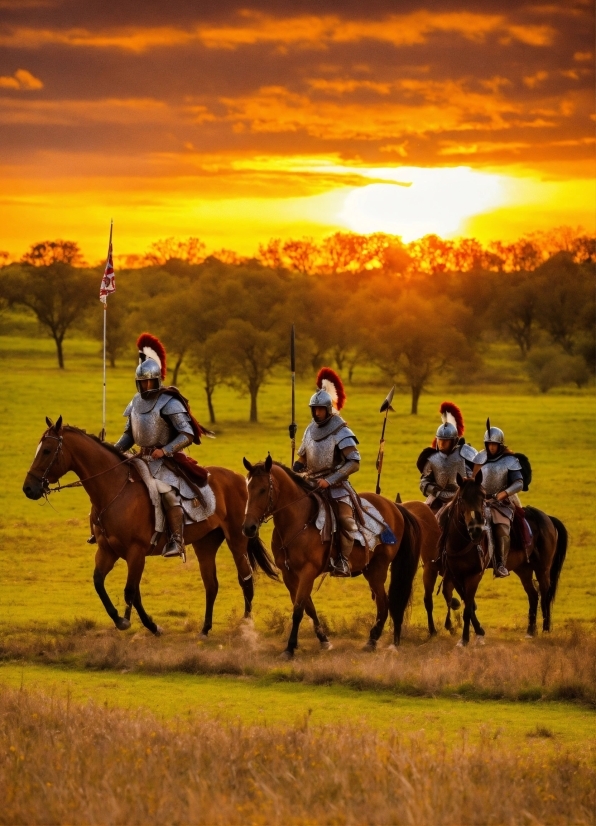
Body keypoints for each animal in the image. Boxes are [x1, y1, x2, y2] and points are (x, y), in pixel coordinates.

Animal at [21, 416, 278, 636]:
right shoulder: (108, 551)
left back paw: (246, 625)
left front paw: (144, 624)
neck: (114, 489)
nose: (29, 488)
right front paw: (125, 621)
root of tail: (241, 479)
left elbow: (131, 592)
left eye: (47, 450)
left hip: (237, 539)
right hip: (205, 544)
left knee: (245, 579)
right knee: (211, 585)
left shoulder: (136, 552)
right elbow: (101, 583)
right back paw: (205, 629)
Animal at [241, 450, 420, 656]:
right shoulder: (289, 574)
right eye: (248, 489)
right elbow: (308, 608)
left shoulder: (308, 571)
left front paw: (290, 647)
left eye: (263, 490)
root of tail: (394, 506)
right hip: (370, 569)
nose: (248, 528)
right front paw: (324, 640)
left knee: (385, 603)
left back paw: (373, 640)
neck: (297, 520)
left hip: (378, 568)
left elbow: (298, 609)